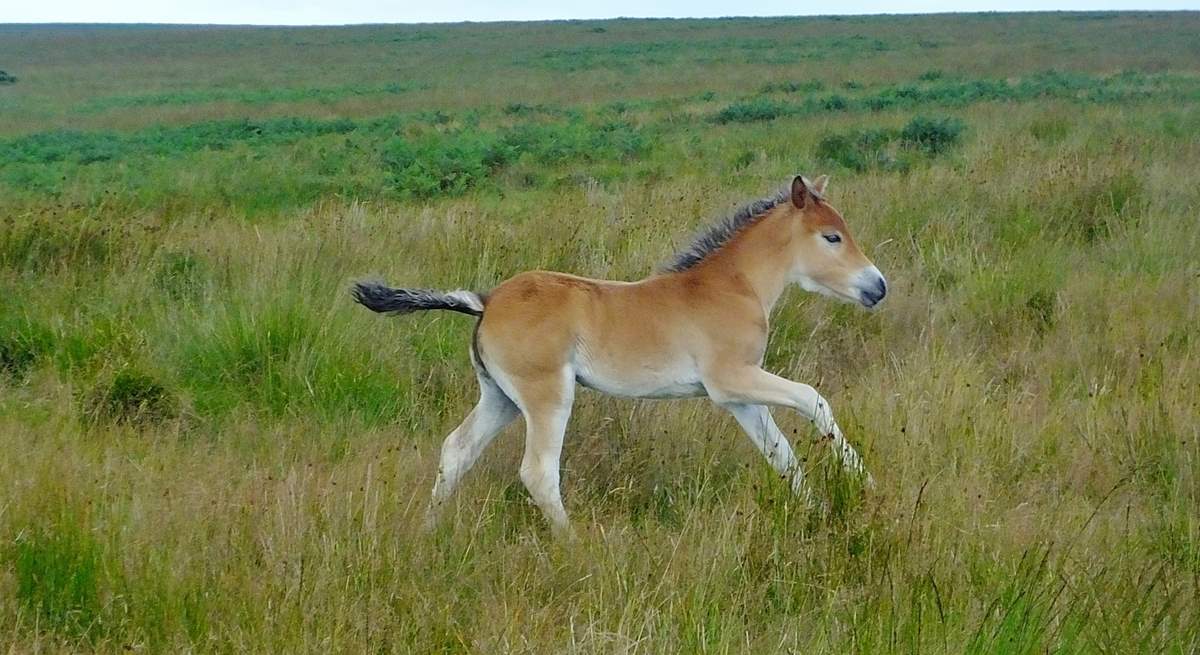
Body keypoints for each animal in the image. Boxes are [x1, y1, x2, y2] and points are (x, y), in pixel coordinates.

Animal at [350, 172, 888, 530]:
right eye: (832, 236)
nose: (878, 287)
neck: (733, 286)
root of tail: (486, 300)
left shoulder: (739, 397)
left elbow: (780, 453)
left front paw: (819, 511)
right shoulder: (731, 379)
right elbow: (813, 398)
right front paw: (866, 484)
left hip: (499, 398)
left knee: (457, 450)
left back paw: (428, 530)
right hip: (547, 397)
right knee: (538, 472)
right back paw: (575, 546)